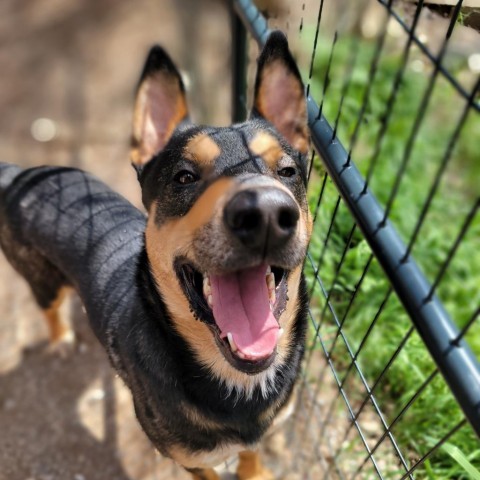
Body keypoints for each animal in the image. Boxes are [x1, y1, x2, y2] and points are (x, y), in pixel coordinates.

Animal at [0, 31, 312, 480]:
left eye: (287, 171)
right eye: (184, 177)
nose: (267, 214)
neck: (238, 381)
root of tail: (18, 174)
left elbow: (252, 452)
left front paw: (257, 473)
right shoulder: (187, 459)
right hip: (40, 278)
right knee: (50, 308)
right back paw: (60, 339)